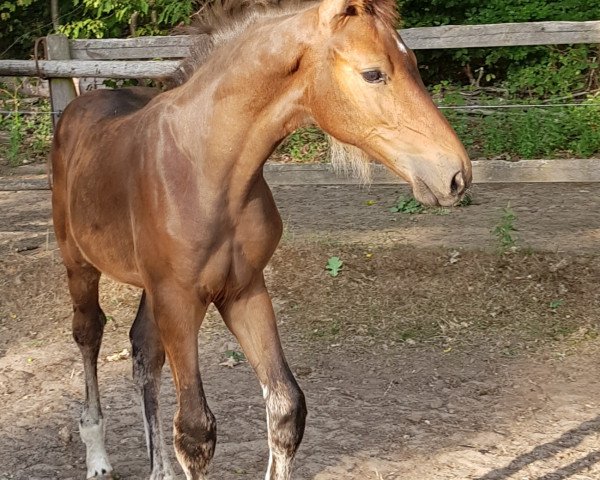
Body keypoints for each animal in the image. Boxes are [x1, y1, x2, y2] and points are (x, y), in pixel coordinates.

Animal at [50, 0, 474, 478]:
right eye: (373, 73)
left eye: (414, 64)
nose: (456, 175)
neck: (207, 167)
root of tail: (78, 105)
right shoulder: (179, 300)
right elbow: (195, 431)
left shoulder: (244, 290)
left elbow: (286, 408)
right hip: (79, 264)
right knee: (89, 333)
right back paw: (97, 454)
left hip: (151, 288)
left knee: (144, 353)